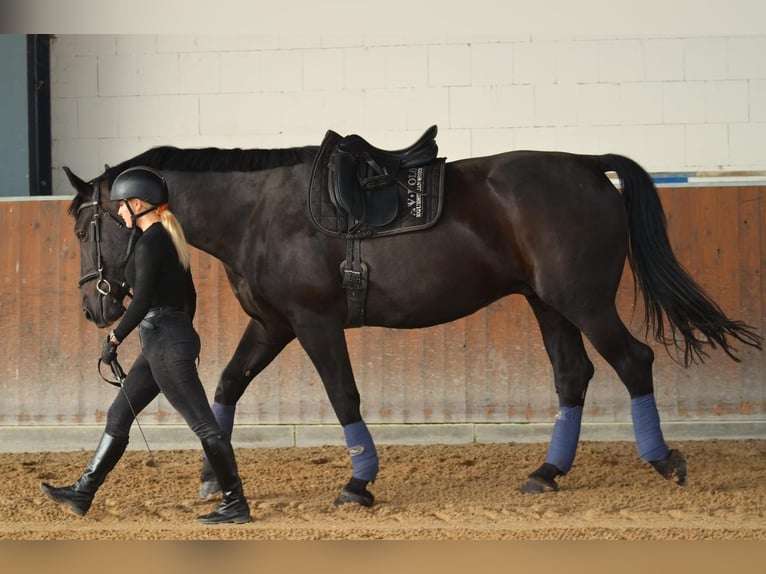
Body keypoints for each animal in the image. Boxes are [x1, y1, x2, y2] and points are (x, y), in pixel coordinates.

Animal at [64, 130, 762, 507]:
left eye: (84, 228)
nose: (96, 306)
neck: (259, 212)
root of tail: (589, 166)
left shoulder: (314, 323)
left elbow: (343, 396)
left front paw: (358, 483)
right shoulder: (273, 325)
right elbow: (227, 386)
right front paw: (214, 476)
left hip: (583, 301)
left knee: (632, 361)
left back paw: (664, 460)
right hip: (549, 304)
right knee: (574, 377)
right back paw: (546, 472)